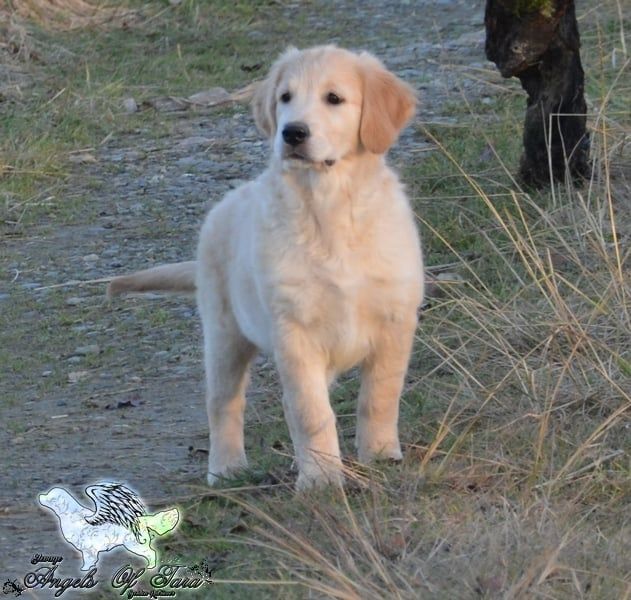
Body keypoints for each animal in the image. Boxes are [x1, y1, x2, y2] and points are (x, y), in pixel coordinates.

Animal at [108, 45, 424, 488]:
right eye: (285, 97)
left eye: (334, 98)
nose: (292, 133)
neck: (329, 206)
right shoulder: (293, 330)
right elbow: (310, 411)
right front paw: (321, 478)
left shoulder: (395, 320)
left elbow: (378, 398)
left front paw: (379, 456)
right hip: (224, 334)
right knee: (223, 403)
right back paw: (225, 467)